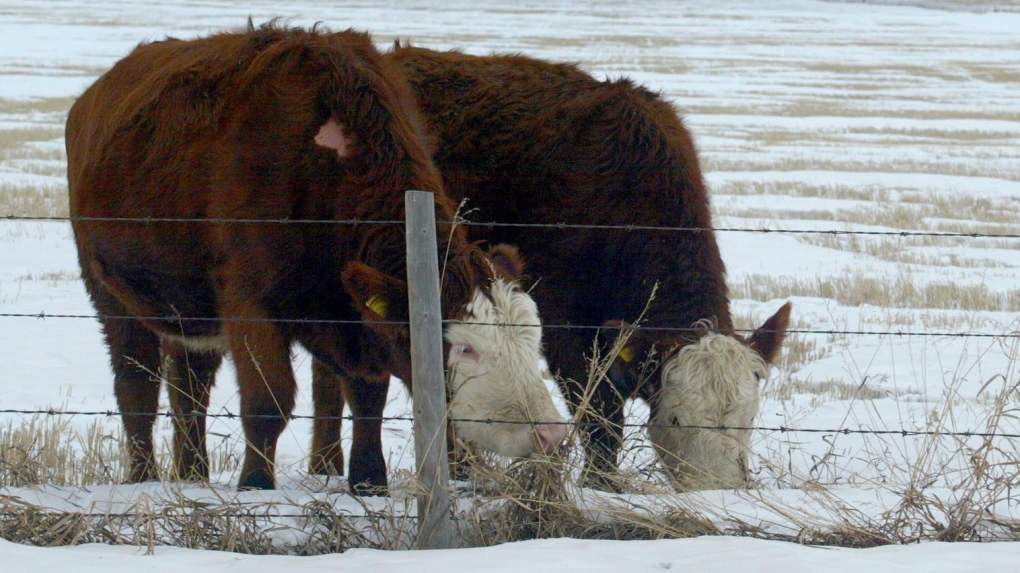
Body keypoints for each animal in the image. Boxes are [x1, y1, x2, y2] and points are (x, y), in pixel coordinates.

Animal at [65, 22, 566, 495]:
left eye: (534, 337)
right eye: (466, 347)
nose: (550, 433)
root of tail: (91, 98)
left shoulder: (354, 315)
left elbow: (367, 396)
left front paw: (369, 481)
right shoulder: (249, 302)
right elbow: (269, 400)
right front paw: (255, 486)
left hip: (189, 315)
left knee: (190, 389)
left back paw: (193, 475)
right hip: (109, 293)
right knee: (136, 387)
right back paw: (143, 477)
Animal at [365, 45, 792, 491]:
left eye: (748, 419)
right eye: (676, 419)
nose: (719, 493)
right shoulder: (564, 329)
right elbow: (602, 418)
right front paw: (600, 484)